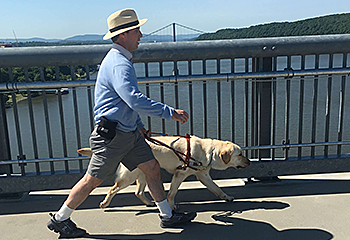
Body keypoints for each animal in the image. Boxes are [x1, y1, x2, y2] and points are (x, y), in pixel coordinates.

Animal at [78, 135, 250, 210]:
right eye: (240, 154)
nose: (249, 162)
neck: (208, 151)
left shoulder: (203, 175)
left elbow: (217, 188)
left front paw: (226, 197)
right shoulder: (180, 174)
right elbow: (172, 193)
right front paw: (171, 206)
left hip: (144, 175)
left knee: (138, 192)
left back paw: (149, 203)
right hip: (129, 177)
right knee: (113, 189)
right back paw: (105, 203)